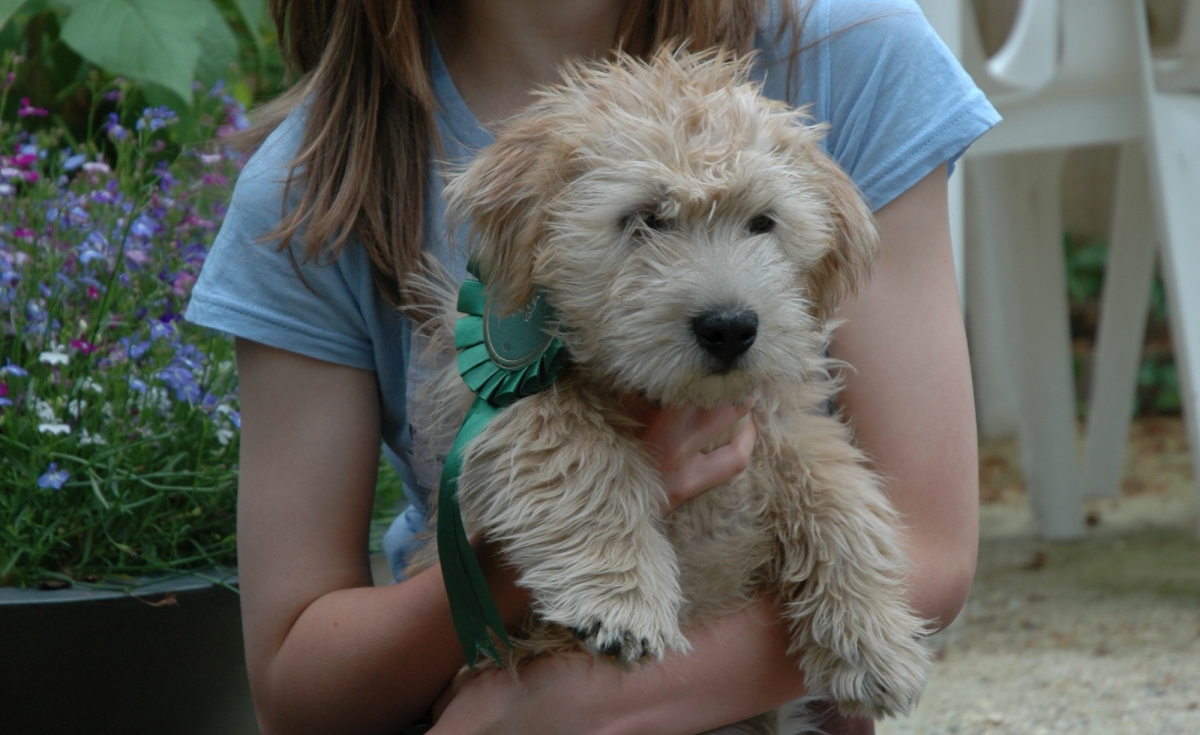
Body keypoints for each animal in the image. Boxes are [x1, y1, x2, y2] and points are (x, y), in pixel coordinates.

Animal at [408, 48, 931, 730]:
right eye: (646, 219)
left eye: (762, 222)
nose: (730, 327)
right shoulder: (505, 401)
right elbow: (572, 451)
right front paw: (619, 595)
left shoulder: (778, 419)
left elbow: (838, 491)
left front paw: (873, 638)